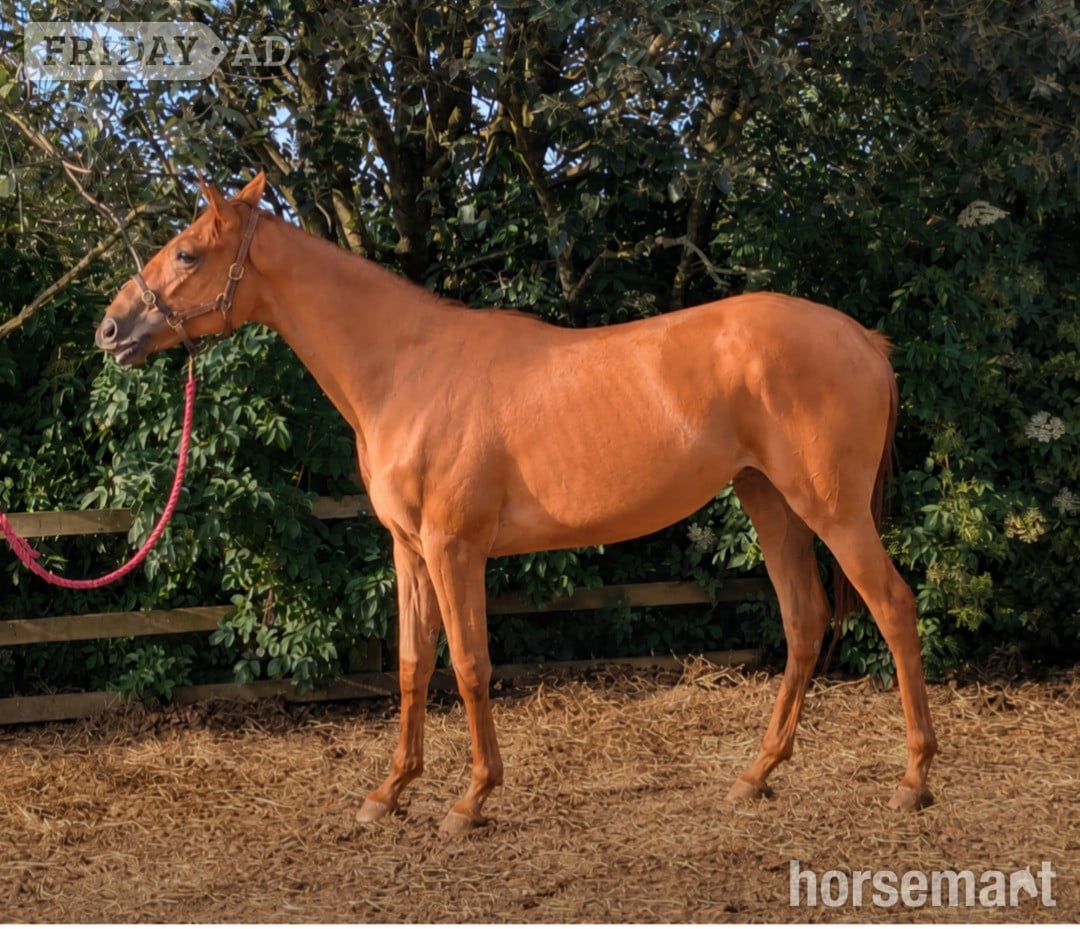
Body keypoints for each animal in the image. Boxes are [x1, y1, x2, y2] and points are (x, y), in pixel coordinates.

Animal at [95, 172, 936, 834]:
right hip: (770, 500)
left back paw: (914, 779)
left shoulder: (452, 546)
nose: (111, 328)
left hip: (833, 512)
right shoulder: (409, 550)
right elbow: (412, 663)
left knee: (894, 607)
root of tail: (865, 341)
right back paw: (755, 776)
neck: (407, 368)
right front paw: (388, 792)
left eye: (187, 253)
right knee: (804, 622)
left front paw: (470, 800)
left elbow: (469, 664)